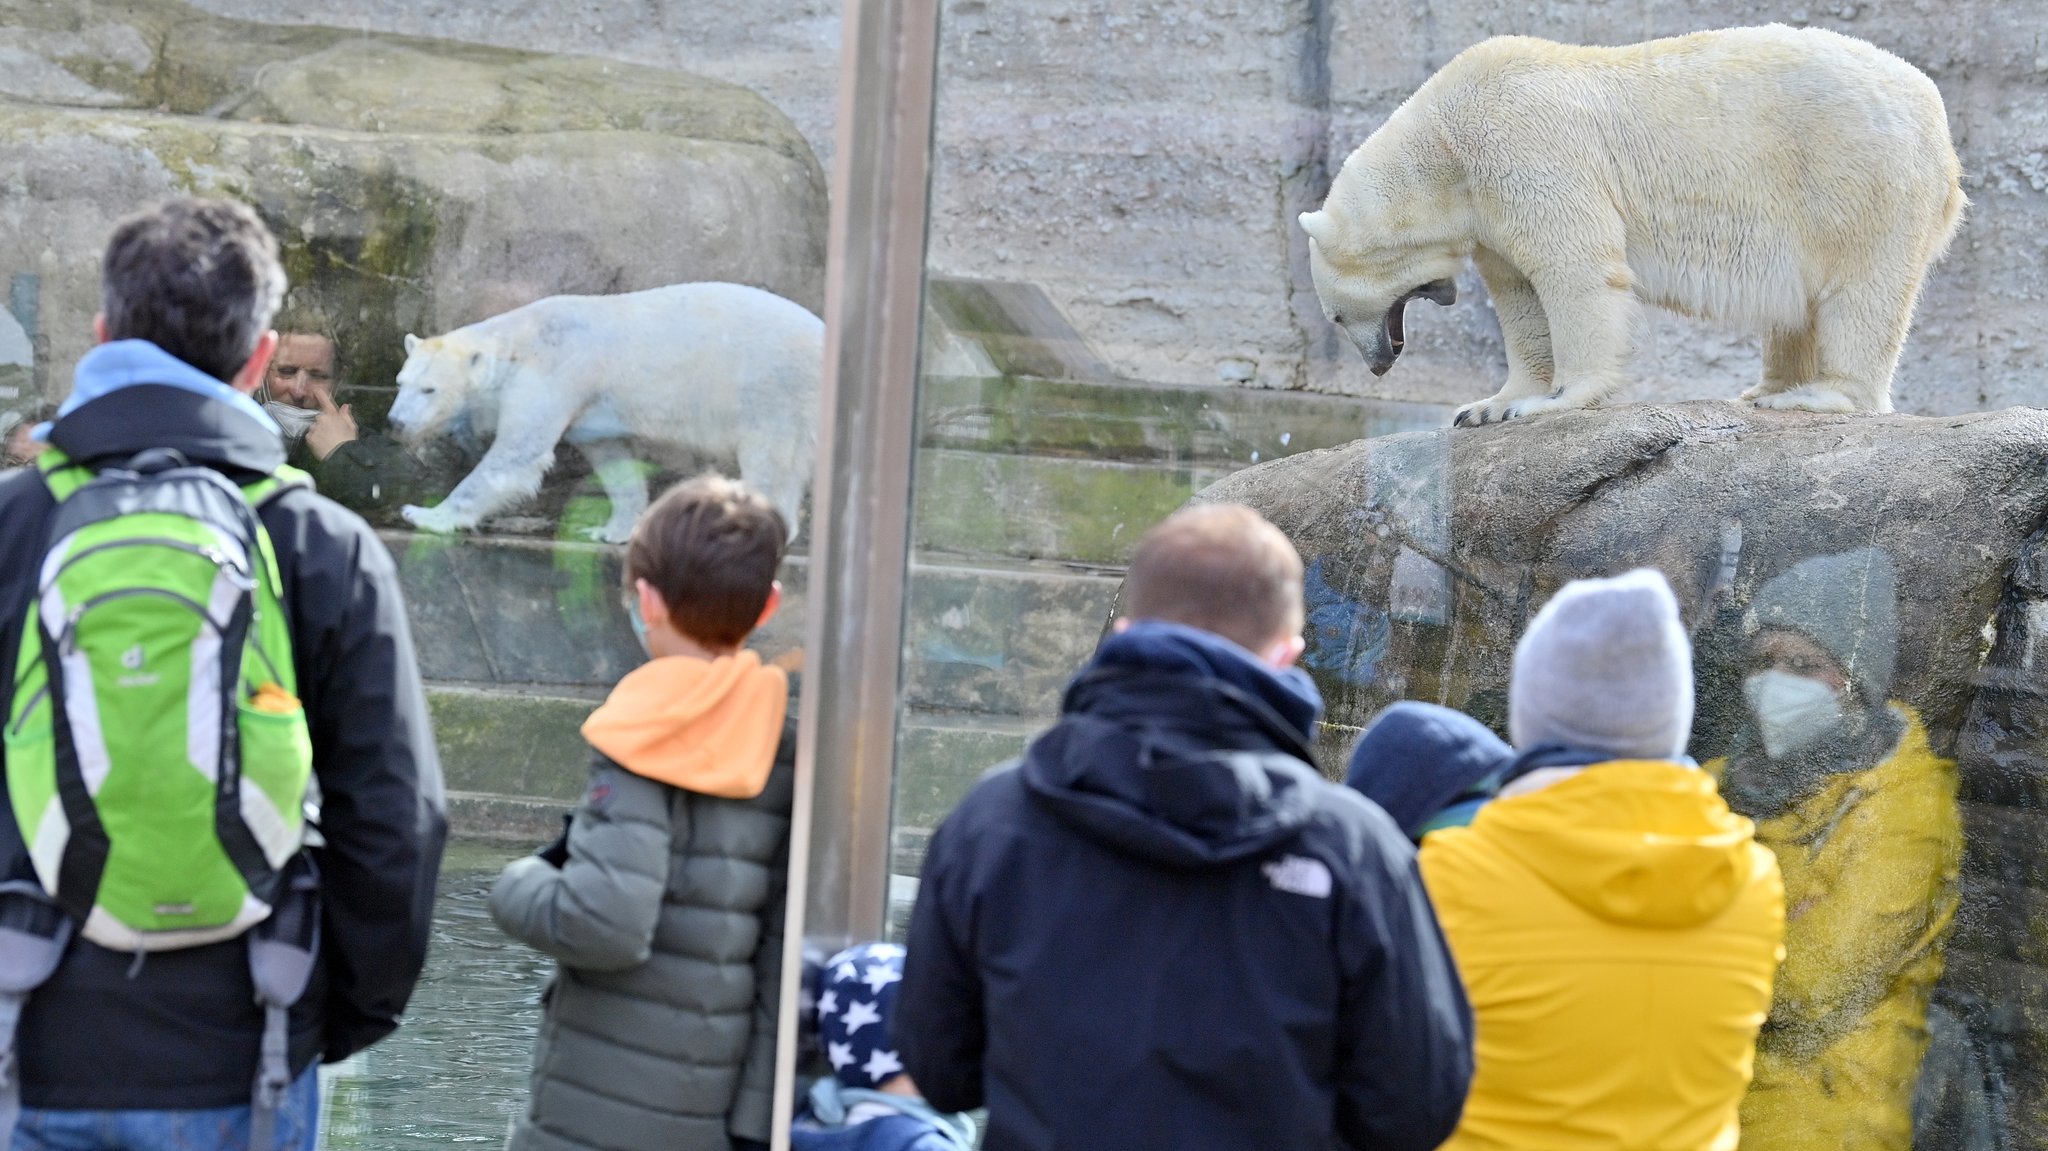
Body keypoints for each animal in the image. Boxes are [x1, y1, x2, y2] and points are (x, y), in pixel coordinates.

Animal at [387, 280, 819, 540]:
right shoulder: (593, 412)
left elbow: (517, 454)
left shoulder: (554, 375)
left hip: (776, 392)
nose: (395, 422)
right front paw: (610, 531)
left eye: (429, 389)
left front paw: (423, 514)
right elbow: (614, 460)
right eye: (400, 382)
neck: (520, 342)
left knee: (772, 462)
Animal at [1302, 24, 1957, 423]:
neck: (1444, 145)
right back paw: (1767, 388)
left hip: (1858, 174)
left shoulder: (1522, 148)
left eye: (1334, 316)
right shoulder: (1489, 207)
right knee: (1798, 310)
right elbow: (1520, 295)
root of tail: (1937, 121)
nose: (1377, 364)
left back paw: (1819, 395)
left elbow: (1575, 270)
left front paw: (1555, 402)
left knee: (1860, 290)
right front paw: (1489, 405)